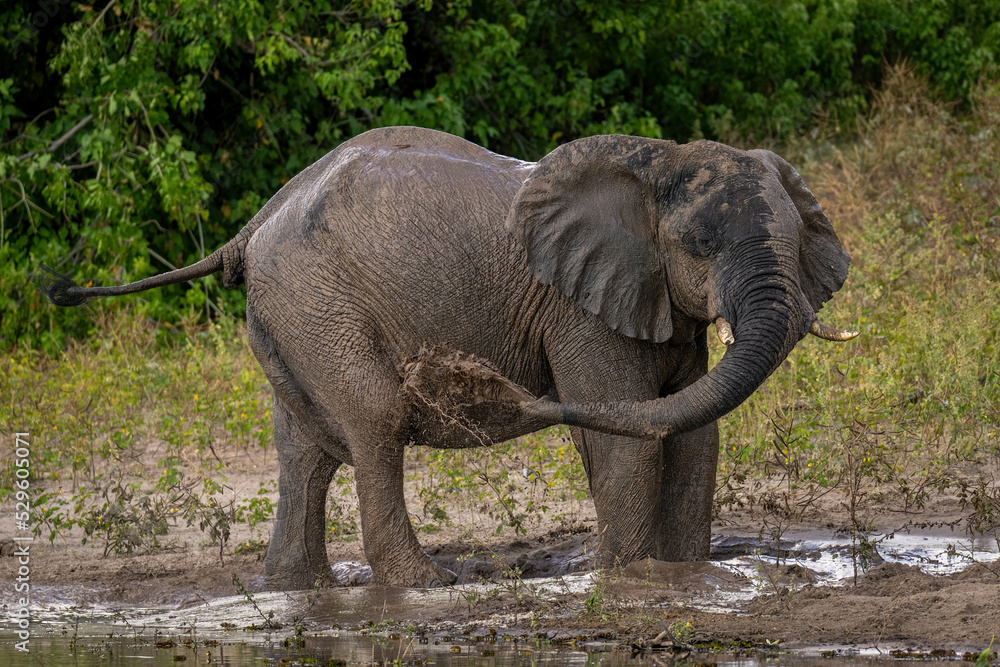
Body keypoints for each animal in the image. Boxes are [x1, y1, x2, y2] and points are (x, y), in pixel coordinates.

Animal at [41, 126, 856, 589]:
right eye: (699, 245)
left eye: (795, 237)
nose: (461, 377)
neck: (657, 164)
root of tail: (251, 226)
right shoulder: (580, 304)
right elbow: (630, 432)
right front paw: (627, 580)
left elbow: (692, 430)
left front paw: (687, 576)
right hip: (317, 300)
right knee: (374, 418)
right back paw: (426, 583)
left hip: (288, 312)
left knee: (304, 448)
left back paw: (298, 588)